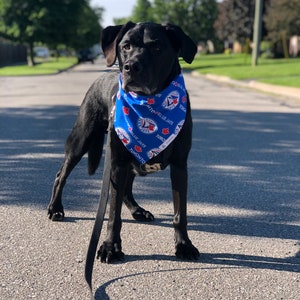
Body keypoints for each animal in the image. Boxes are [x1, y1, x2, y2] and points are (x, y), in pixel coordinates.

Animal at [47, 21, 199, 262]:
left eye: (157, 47)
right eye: (125, 46)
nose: (130, 67)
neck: (149, 103)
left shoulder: (179, 166)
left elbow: (179, 212)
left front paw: (184, 245)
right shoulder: (117, 162)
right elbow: (113, 213)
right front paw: (111, 246)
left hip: (132, 156)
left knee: (127, 188)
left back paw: (138, 210)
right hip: (82, 140)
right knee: (61, 174)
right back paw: (55, 208)